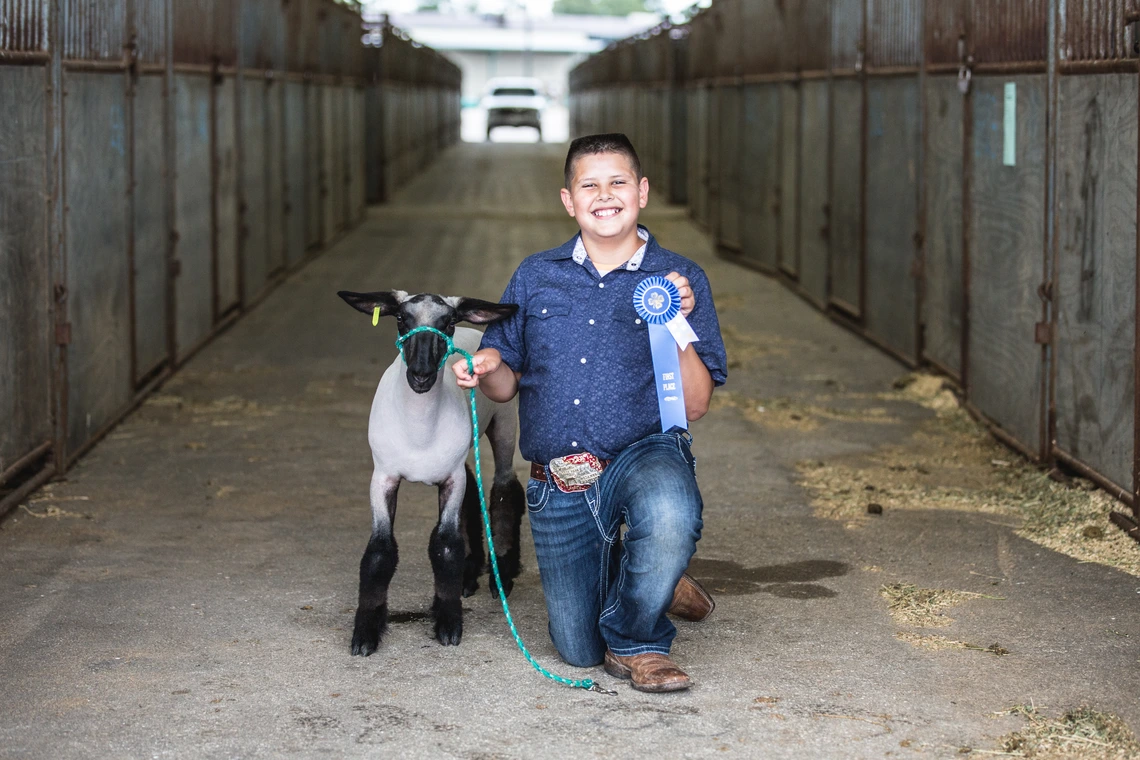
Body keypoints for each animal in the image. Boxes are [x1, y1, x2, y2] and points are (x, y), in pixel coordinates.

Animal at [335, 288, 526, 656]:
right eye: (400, 319)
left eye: (447, 322)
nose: (421, 374)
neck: (418, 432)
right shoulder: (383, 477)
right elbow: (379, 551)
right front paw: (365, 633)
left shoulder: (451, 478)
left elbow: (446, 545)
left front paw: (449, 624)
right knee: (474, 494)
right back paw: (469, 575)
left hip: (504, 423)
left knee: (505, 488)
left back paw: (503, 574)